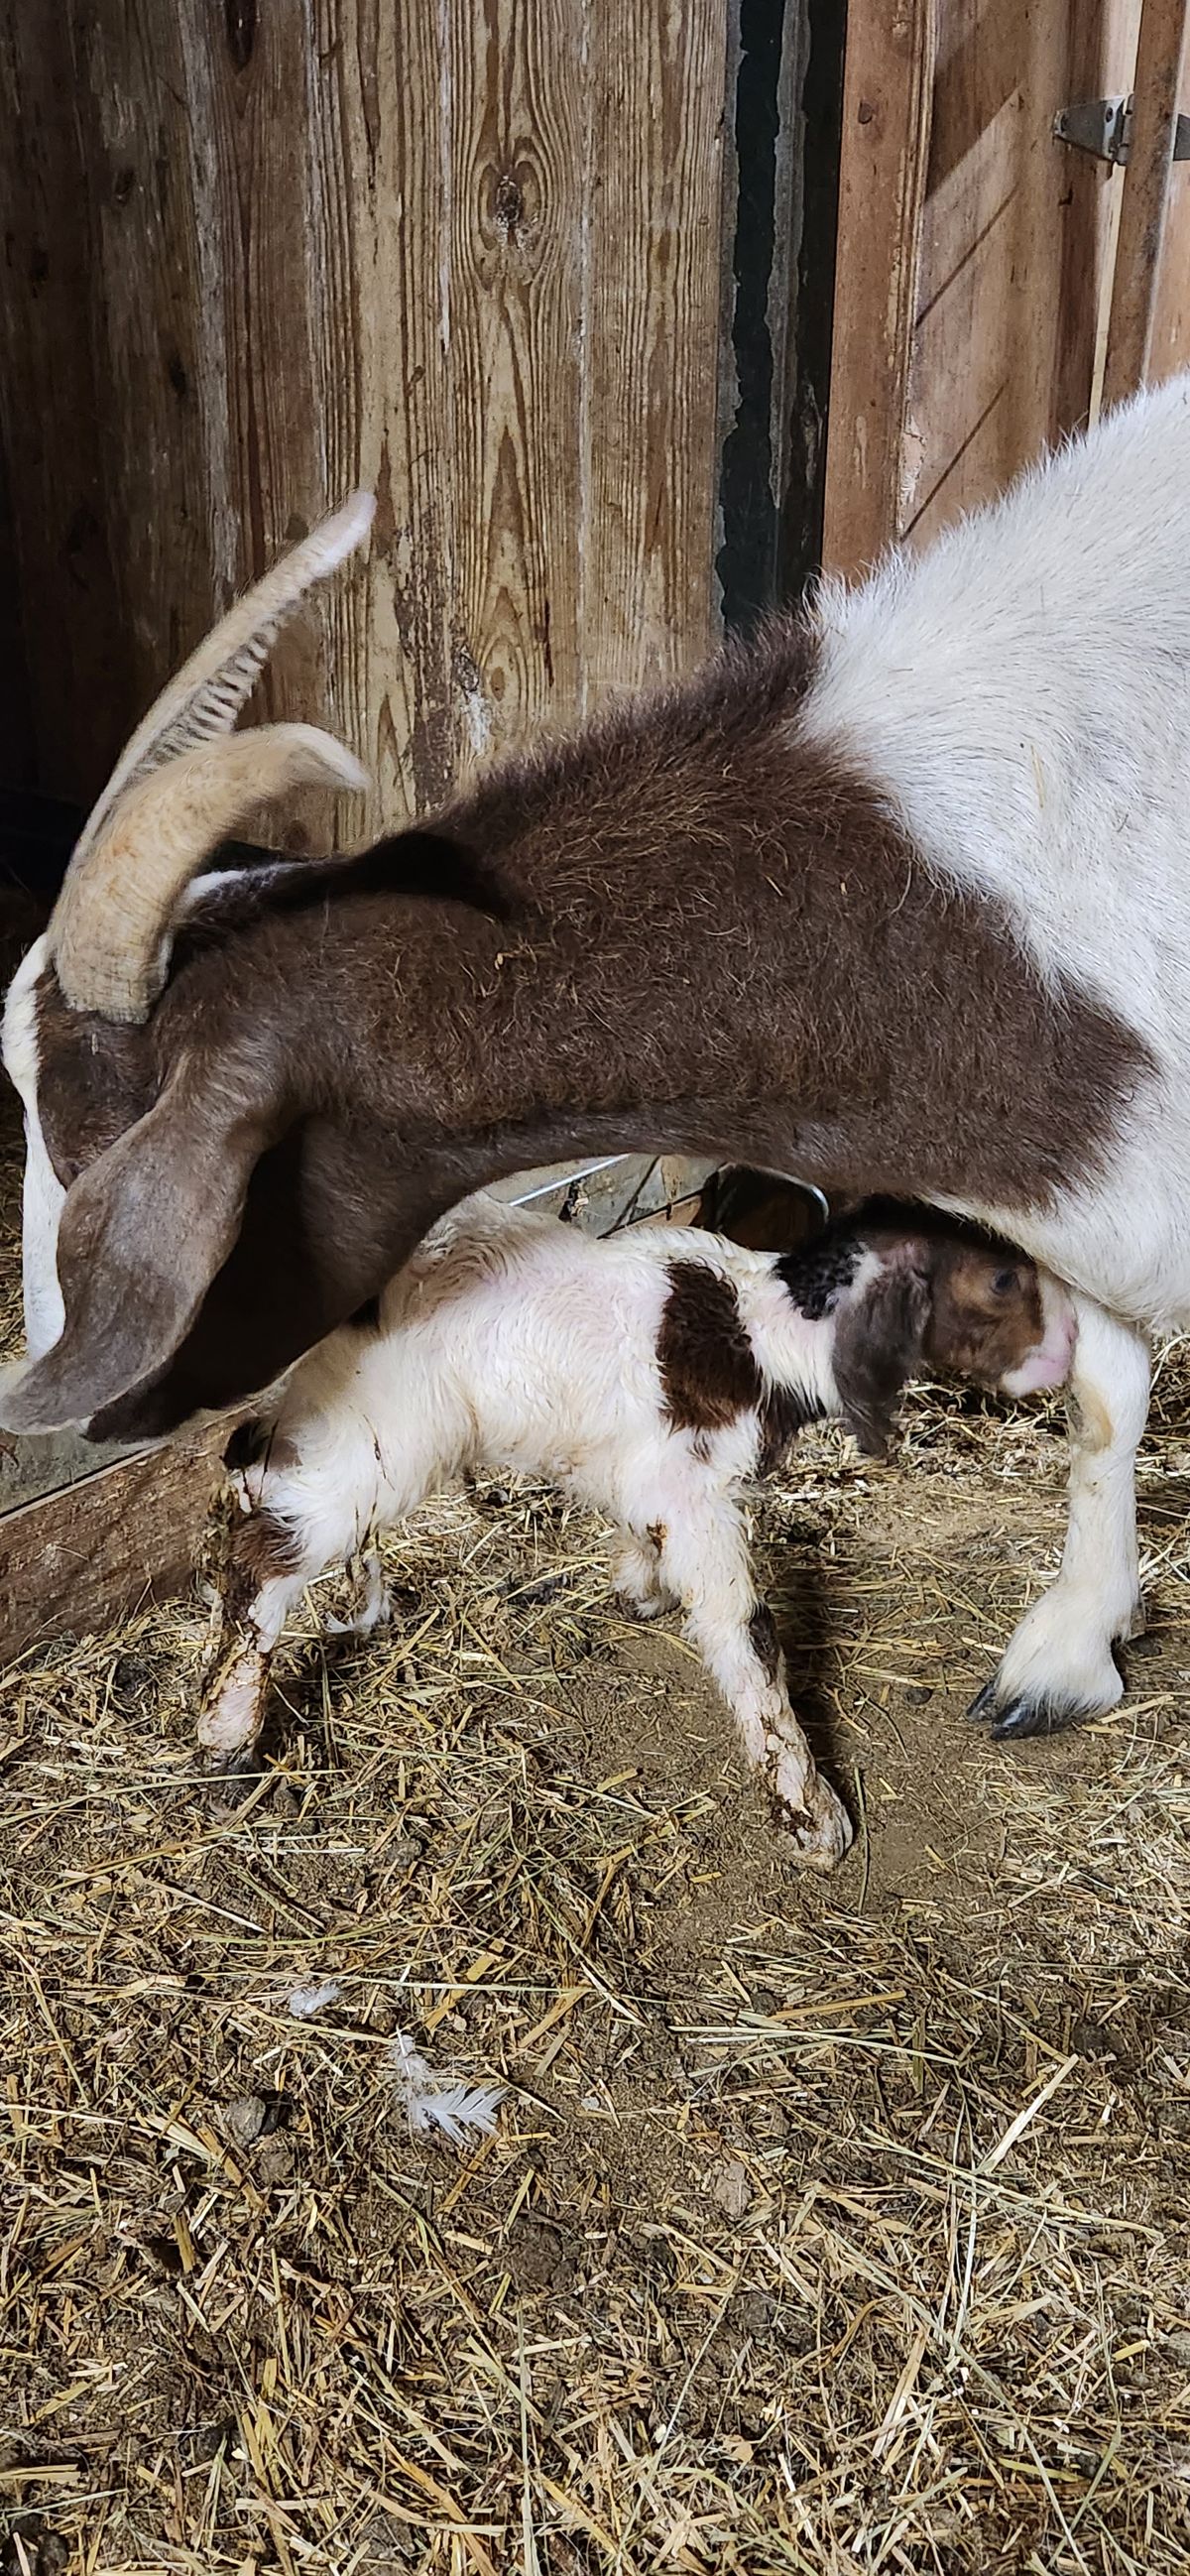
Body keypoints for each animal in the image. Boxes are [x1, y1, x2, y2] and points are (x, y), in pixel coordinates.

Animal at [200, 1194, 1075, 1863]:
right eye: (1001, 1279)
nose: (1070, 1349)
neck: (764, 1335)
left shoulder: (642, 1469)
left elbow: (643, 1534)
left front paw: (641, 1591)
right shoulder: (695, 1489)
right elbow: (747, 1632)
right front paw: (810, 1814)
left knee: (252, 1462)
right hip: (383, 1429)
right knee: (269, 1549)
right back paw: (226, 1740)